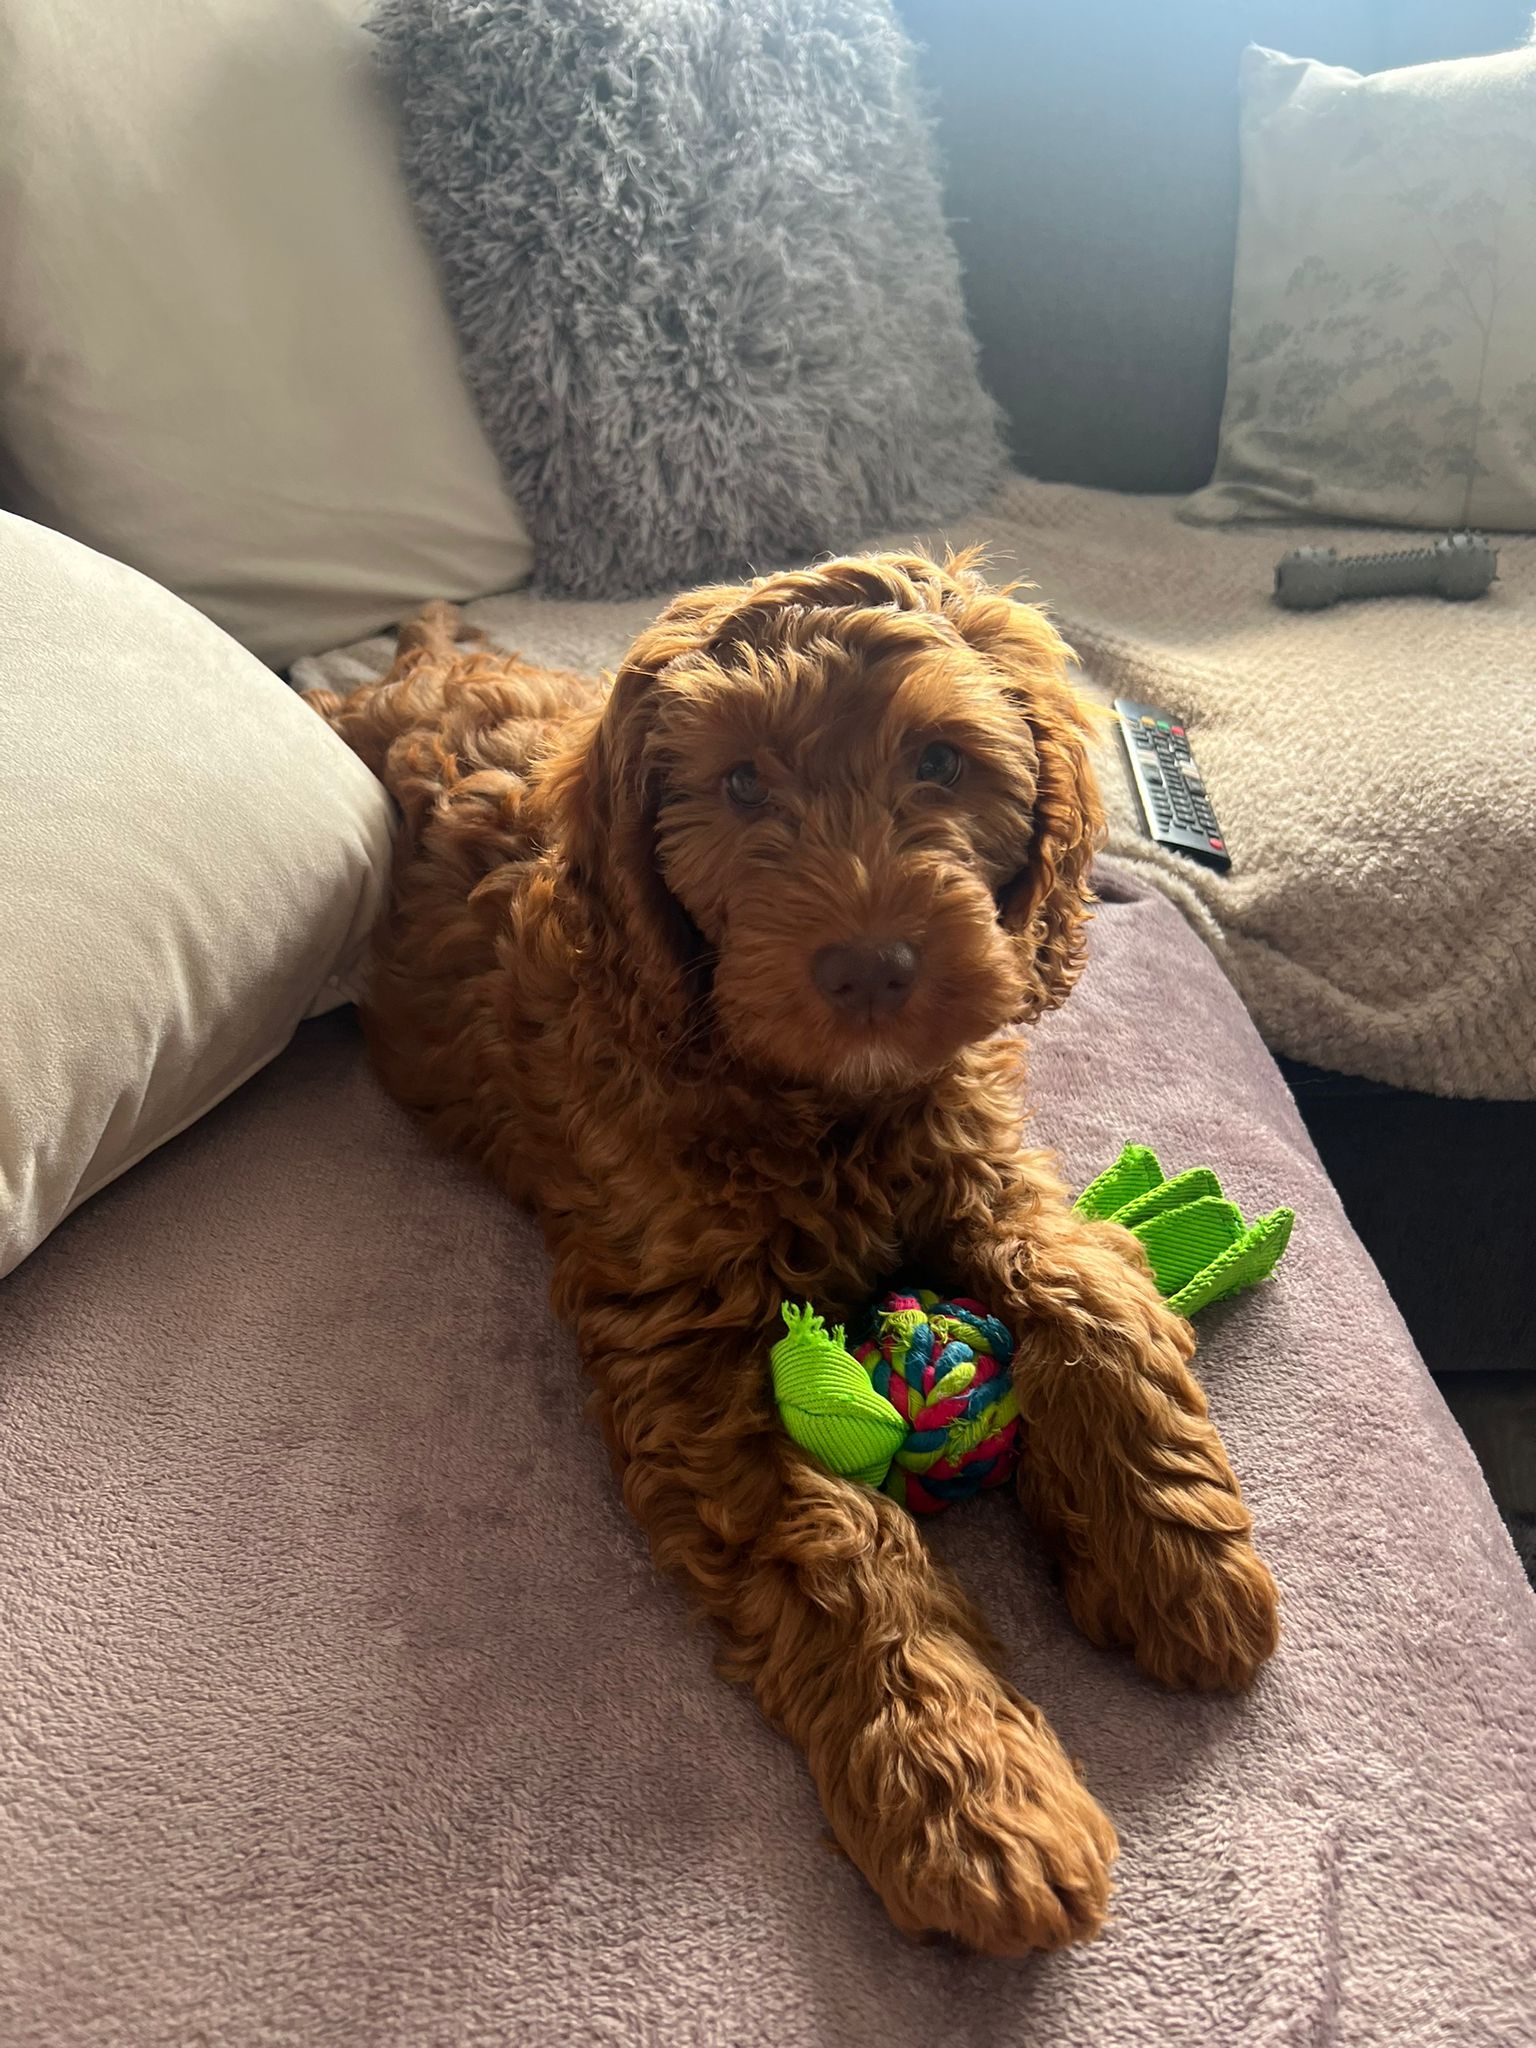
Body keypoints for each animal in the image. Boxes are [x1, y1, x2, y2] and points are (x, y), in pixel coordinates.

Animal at [305, 550, 1278, 1956]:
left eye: (939, 761)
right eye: (741, 786)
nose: (872, 967)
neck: (823, 1106)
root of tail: (412, 667)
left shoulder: (995, 1170)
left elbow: (1090, 1293)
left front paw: (1178, 1555)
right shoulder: (691, 1350)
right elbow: (836, 1541)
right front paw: (970, 1797)